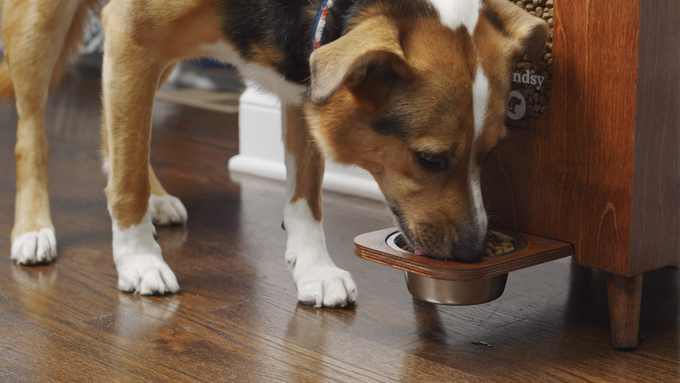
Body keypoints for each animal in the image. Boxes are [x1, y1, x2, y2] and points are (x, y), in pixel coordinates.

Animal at [98, 0, 548, 308]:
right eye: (430, 159)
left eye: (490, 153)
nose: (473, 253)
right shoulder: (130, 37)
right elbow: (127, 178)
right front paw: (138, 259)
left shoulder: (304, 84)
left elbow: (306, 199)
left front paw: (315, 269)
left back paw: (156, 200)